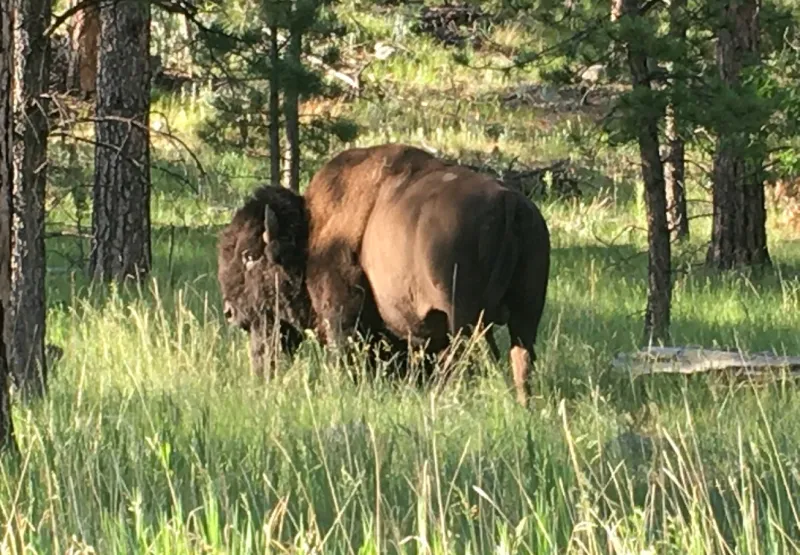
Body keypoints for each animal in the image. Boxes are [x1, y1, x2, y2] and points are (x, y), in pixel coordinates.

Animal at [217, 143, 551, 404]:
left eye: (249, 256)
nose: (230, 312)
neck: (310, 234)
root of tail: (510, 203)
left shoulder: (342, 315)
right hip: (526, 315)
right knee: (520, 358)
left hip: (466, 319)